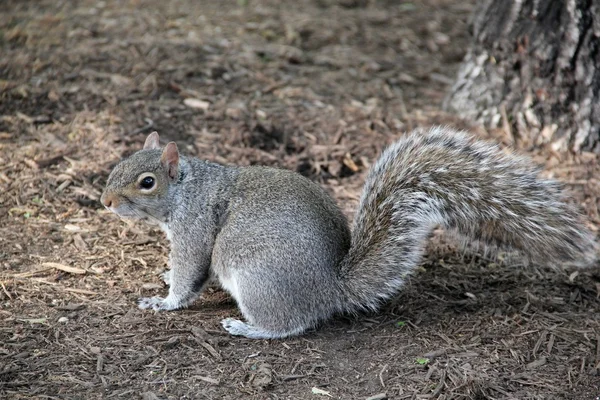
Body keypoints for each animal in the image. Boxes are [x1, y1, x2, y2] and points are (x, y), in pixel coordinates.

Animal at [101, 127, 596, 338]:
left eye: (147, 182)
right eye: (119, 162)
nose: (105, 201)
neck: (187, 189)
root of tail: (330, 287)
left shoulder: (195, 230)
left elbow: (190, 275)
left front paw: (164, 301)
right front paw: (164, 281)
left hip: (256, 276)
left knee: (292, 325)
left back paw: (248, 329)